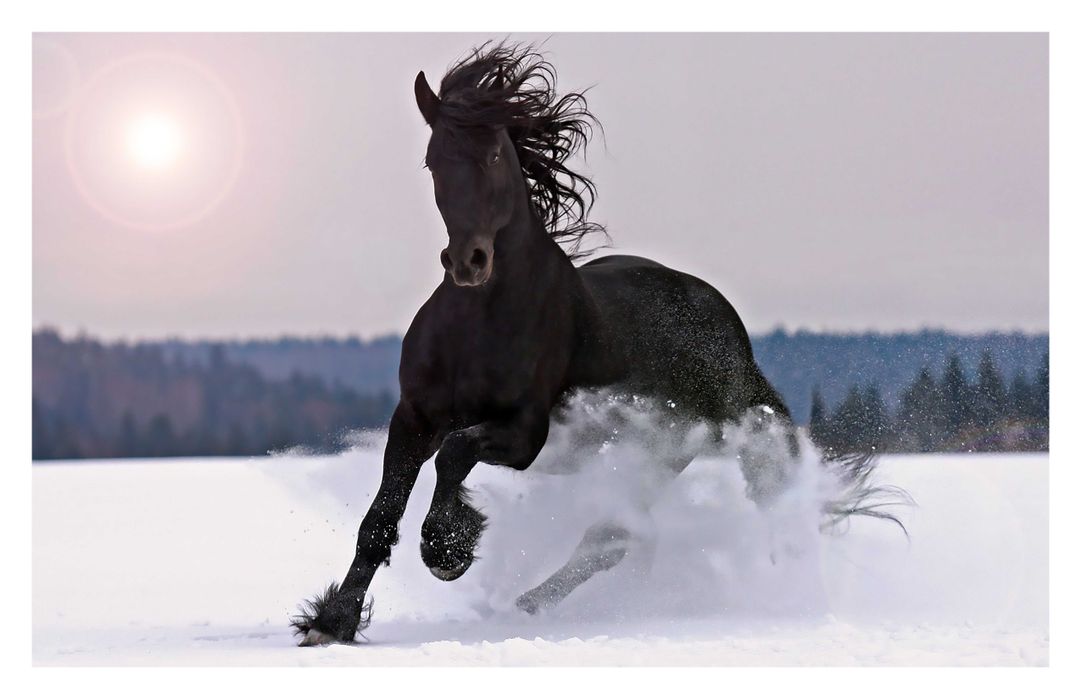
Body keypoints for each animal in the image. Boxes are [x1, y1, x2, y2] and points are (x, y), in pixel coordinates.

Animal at [292, 43, 902, 646]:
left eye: (492, 156)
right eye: (432, 160)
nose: (468, 262)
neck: (479, 324)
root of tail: (731, 334)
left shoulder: (525, 432)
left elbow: (456, 453)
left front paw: (447, 550)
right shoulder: (415, 418)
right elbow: (379, 519)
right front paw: (330, 622)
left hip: (663, 451)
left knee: (612, 537)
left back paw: (527, 606)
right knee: (614, 536)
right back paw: (527, 604)